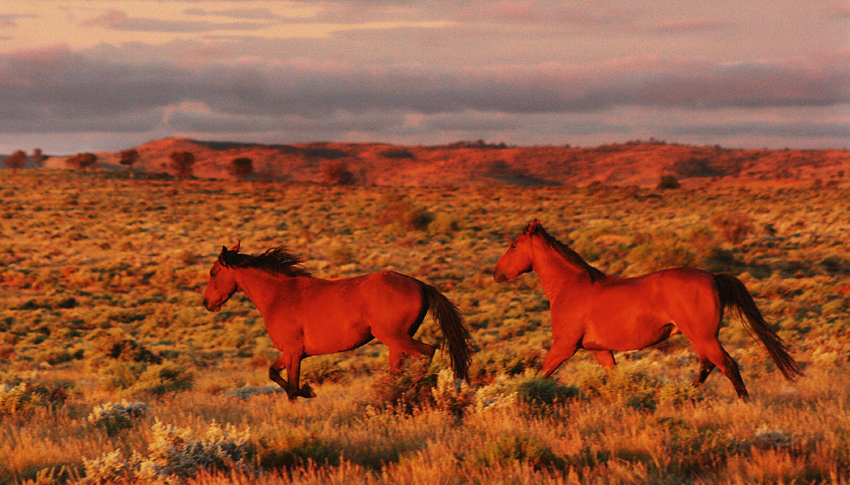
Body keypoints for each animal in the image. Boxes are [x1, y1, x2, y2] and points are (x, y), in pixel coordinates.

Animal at [203, 240, 474, 398]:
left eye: (213, 273)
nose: (207, 303)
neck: (280, 295)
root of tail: (421, 285)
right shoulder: (290, 352)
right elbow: (273, 374)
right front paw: (308, 391)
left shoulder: (293, 352)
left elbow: (292, 389)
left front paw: (304, 395)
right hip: (396, 343)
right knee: (399, 369)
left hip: (395, 337)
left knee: (427, 352)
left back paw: (417, 385)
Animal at [490, 217, 800, 398]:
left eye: (514, 246)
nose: (496, 273)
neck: (571, 287)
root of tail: (713, 276)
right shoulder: (601, 351)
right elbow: (614, 378)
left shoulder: (564, 347)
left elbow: (540, 374)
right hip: (699, 337)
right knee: (708, 365)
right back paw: (686, 397)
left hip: (702, 336)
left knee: (727, 364)